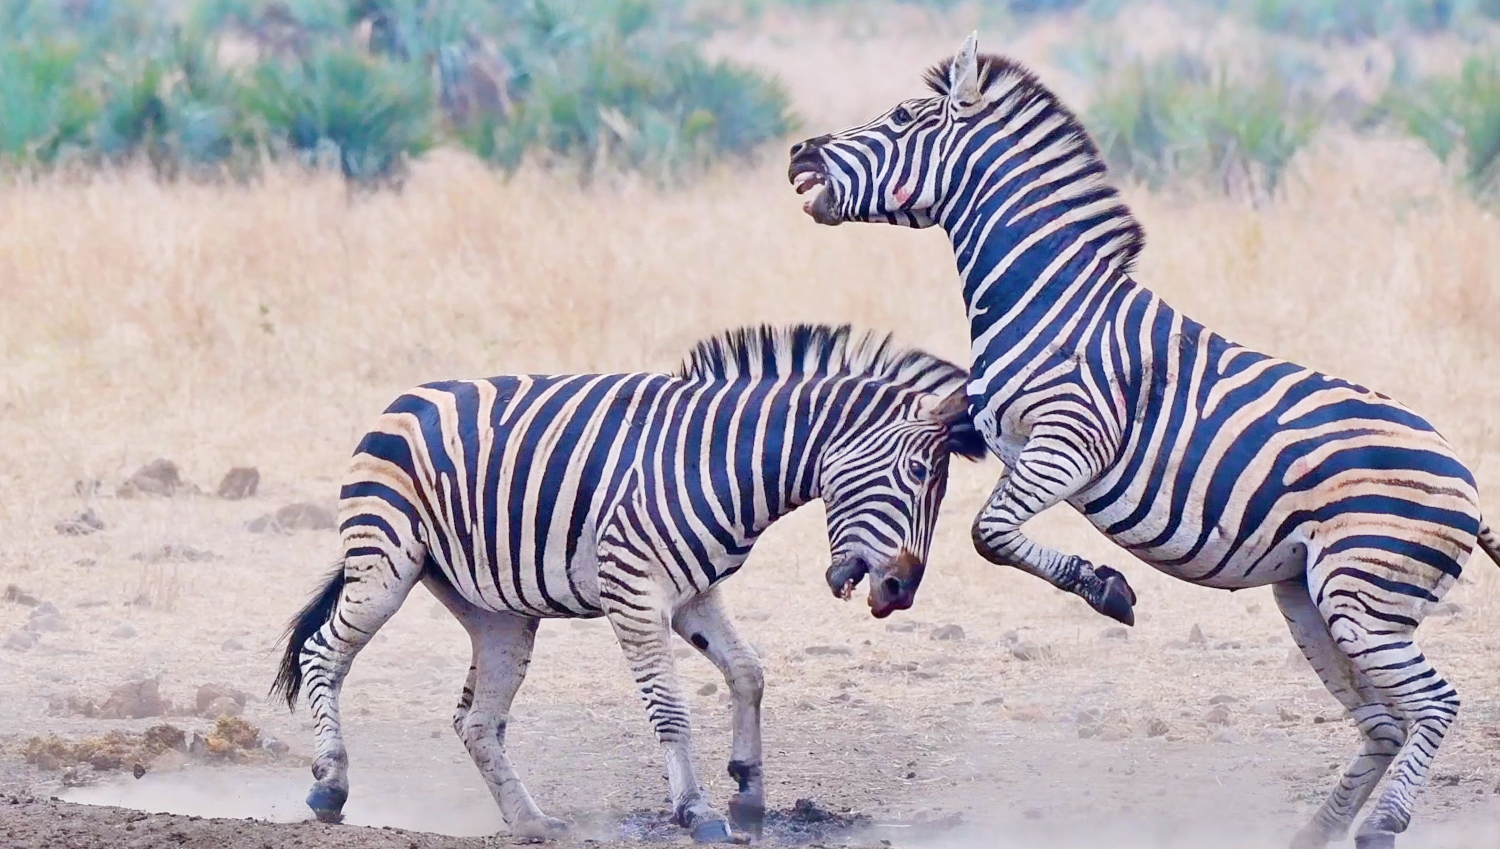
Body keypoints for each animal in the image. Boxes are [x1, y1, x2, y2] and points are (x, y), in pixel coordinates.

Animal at [270, 323, 985, 843]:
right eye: (918, 473)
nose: (901, 592)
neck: (721, 463)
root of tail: (403, 401)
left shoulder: (696, 594)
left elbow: (749, 673)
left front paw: (749, 795)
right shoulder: (633, 591)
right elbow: (670, 709)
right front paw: (699, 813)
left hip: (498, 611)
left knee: (476, 720)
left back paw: (531, 822)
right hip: (385, 563)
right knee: (324, 655)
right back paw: (329, 787)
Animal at [787, 34, 1500, 849]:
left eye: (904, 117)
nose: (799, 153)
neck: (1049, 300)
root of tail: (1468, 485)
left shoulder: (1071, 439)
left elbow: (989, 532)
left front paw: (1105, 588)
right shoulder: (996, 430)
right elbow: (949, 485)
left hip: (1363, 592)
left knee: (1435, 701)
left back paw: (1382, 824)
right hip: (1311, 596)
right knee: (1384, 721)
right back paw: (1314, 833)